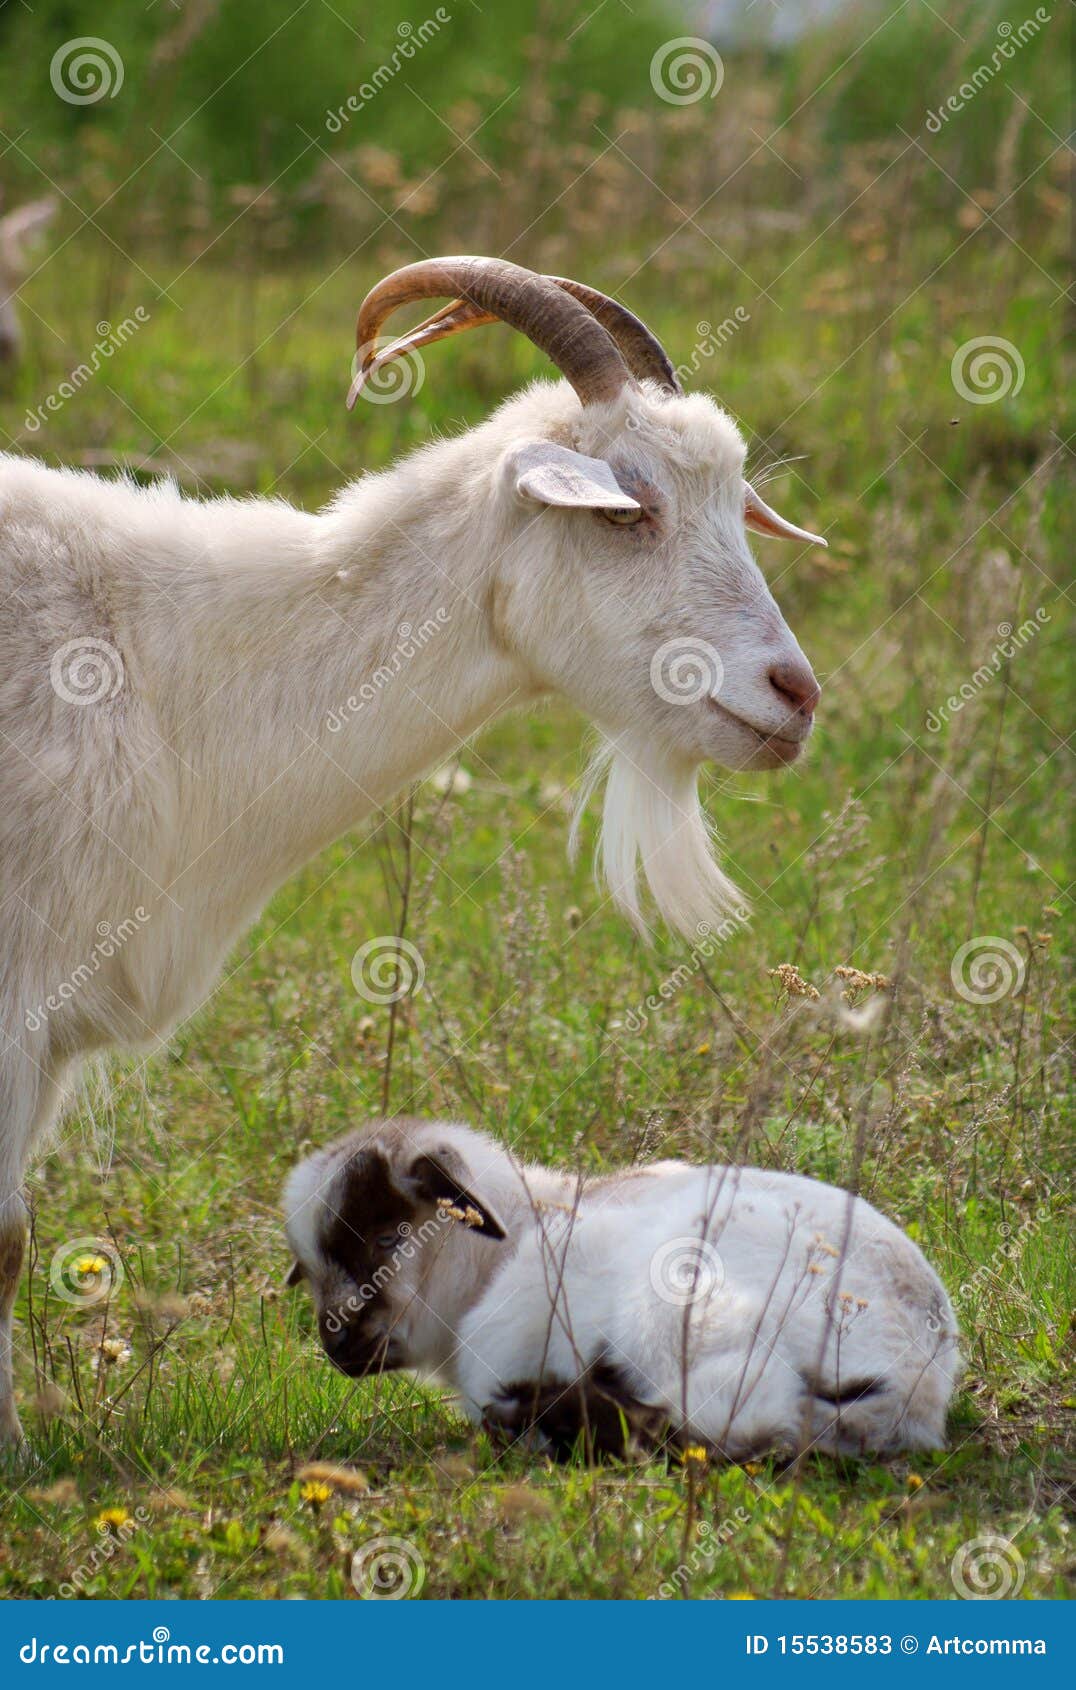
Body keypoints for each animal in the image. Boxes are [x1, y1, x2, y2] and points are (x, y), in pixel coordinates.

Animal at [284, 1117, 961, 1461]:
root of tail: (914, 1385)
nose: (336, 1345)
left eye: (383, 1236)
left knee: (727, 1427)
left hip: (681, 1317)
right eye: (308, 1266)